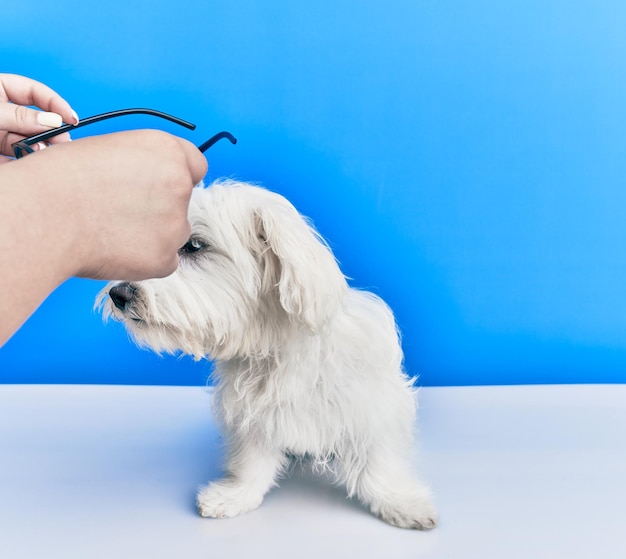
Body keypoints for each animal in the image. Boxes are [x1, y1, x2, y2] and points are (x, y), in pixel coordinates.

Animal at [98, 180, 438, 528]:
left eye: (194, 246)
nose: (118, 293)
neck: (280, 348)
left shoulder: (372, 409)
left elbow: (376, 464)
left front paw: (399, 500)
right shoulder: (252, 416)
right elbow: (252, 463)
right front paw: (236, 494)